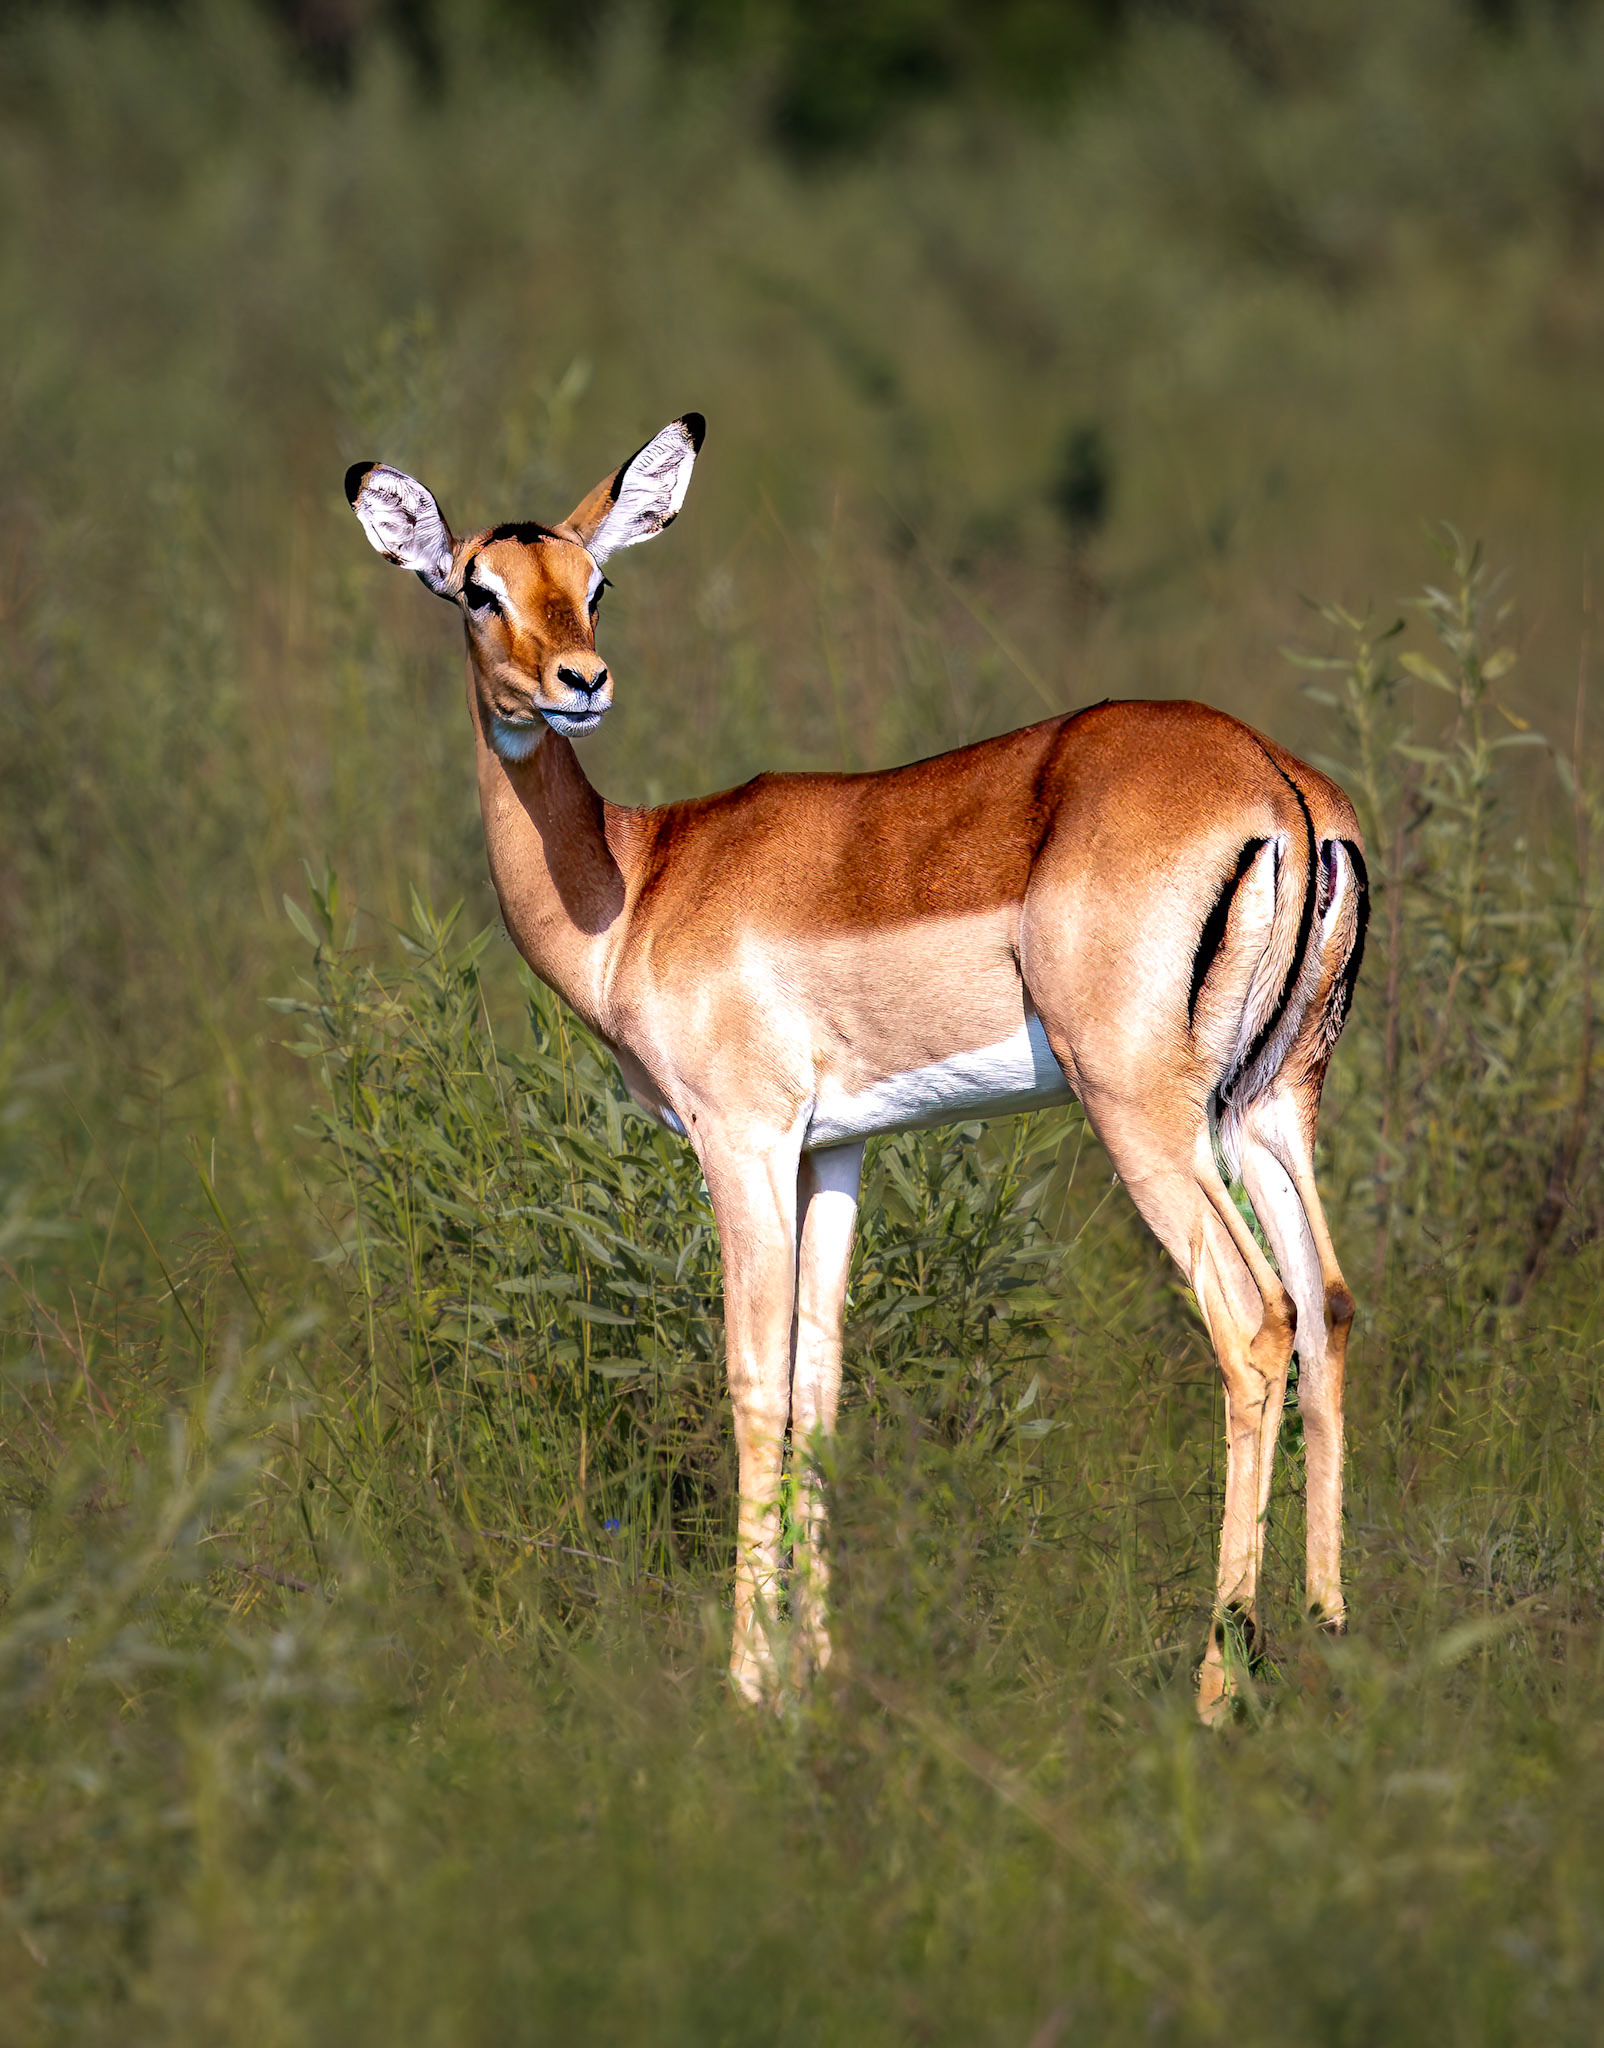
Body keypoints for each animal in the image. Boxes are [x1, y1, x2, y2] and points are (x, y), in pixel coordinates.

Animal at [345, 414, 1367, 1718]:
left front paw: (745, 1684)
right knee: (1327, 1304)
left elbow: (753, 1386)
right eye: (479, 588)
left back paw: (1214, 1683)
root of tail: (1278, 785)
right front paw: (815, 1675)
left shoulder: (740, 1137)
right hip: (1267, 1108)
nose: (580, 682)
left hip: (1142, 1113)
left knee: (1253, 1316)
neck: (638, 879)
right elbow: (820, 1392)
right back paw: (1330, 1641)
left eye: (594, 581)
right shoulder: (833, 1151)